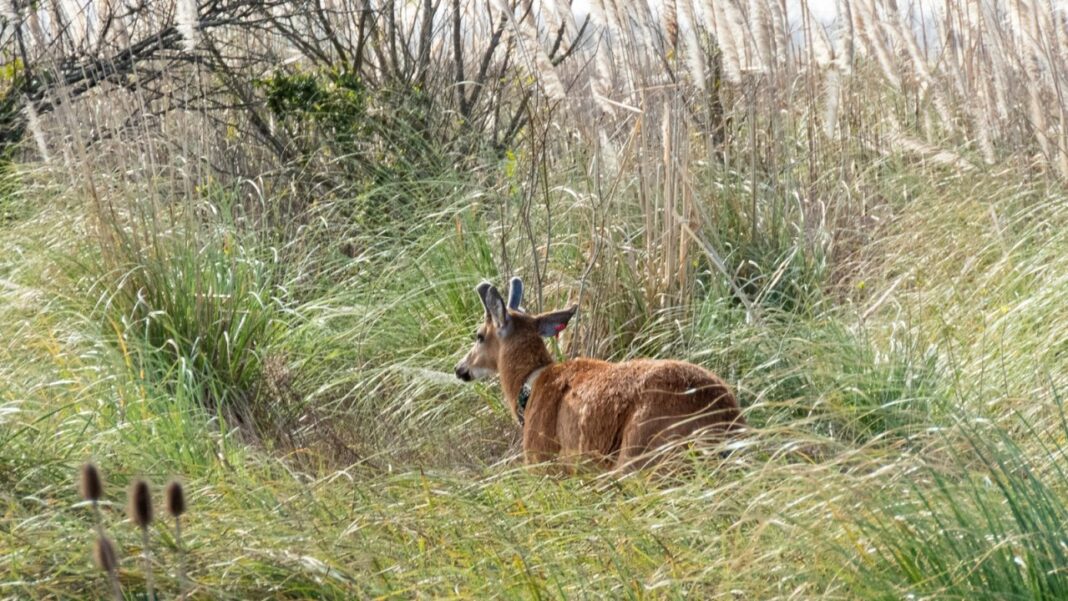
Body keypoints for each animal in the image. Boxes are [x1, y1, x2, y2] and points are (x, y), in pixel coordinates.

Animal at [454, 277, 746, 472]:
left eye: (479, 335)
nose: (460, 368)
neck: (531, 386)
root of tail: (724, 419)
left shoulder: (543, 458)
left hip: (640, 452)